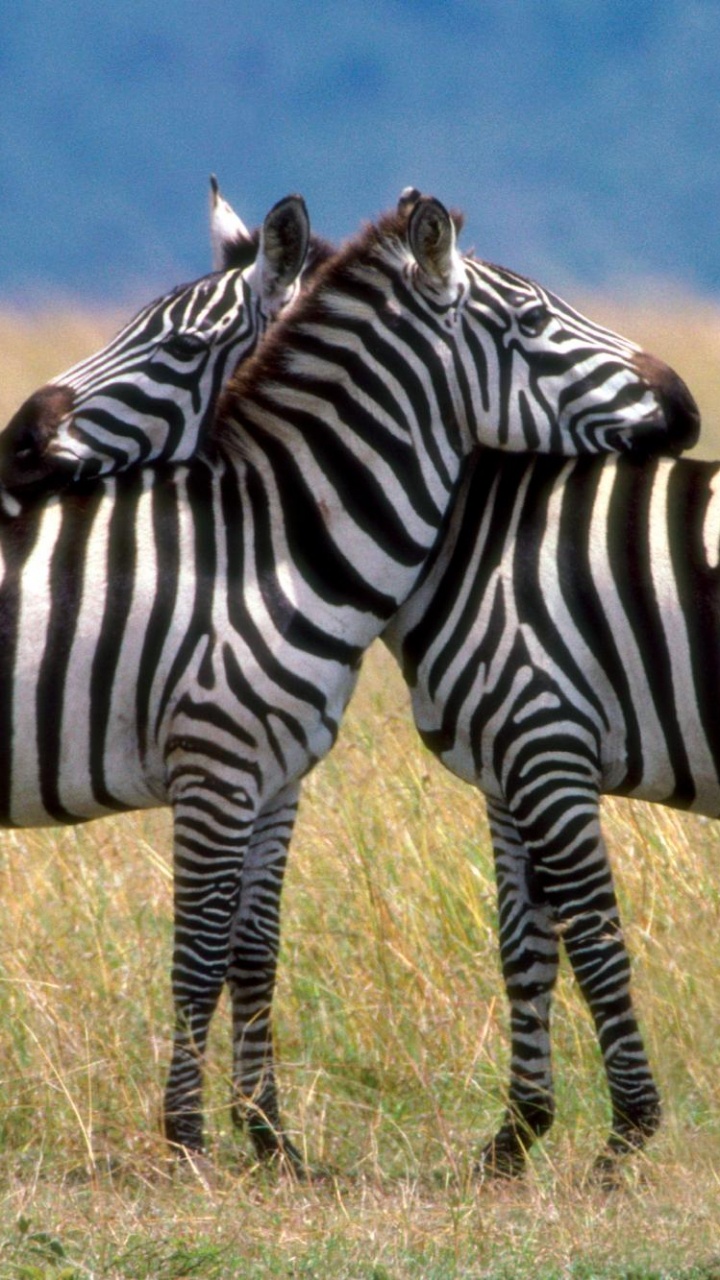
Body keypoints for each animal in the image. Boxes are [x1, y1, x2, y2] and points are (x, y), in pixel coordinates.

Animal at [0, 192, 699, 1171]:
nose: (16, 443)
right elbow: (201, 952)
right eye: (530, 322)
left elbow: (249, 948)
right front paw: (193, 1146)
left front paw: (267, 1143)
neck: (269, 548)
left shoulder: (284, 774)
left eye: (177, 346)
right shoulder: (223, 763)